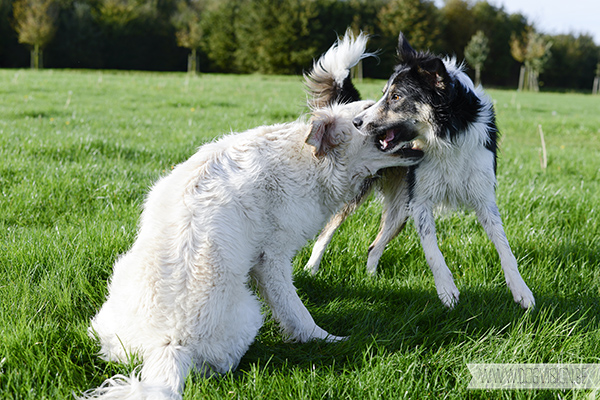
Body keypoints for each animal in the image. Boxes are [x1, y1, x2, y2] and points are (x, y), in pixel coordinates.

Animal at [83, 83, 422, 396]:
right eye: (364, 113)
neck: (312, 160)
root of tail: (169, 345)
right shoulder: (272, 258)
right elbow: (296, 311)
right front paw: (328, 339)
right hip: (250, 312)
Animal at [304, 31, 536, 310]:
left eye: (396, 97)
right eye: (384, 94)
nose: (357, 122)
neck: (447, 137)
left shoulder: (484, 199)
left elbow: (505, 246)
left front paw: (521, 291)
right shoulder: (420, 201)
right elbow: (432, 248)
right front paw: (447, 290)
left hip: (400, 208)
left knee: (373, 245)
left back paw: (371, 279)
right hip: (360, 192)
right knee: (326, 231)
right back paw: (310, 271)